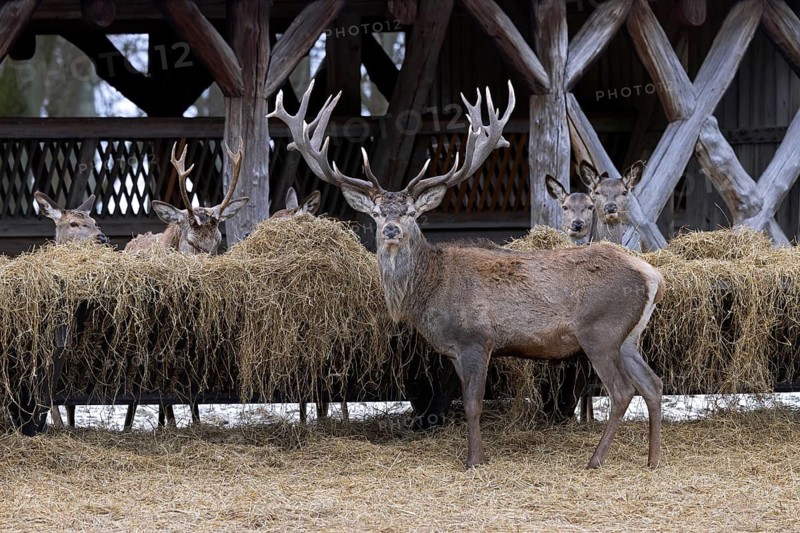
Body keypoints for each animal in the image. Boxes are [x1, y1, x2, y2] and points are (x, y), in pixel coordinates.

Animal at [32, 191, 109, 430]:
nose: (101, 238)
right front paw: (57, 425)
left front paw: (70, 425)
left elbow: (70, 400)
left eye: (95, 222)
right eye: (73, 223)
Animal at [270, 79, 665, 469]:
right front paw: (477, 455)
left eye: (411, 212)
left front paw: (474, 460)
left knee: (622, 390)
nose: (391, 229)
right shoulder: (455, 350)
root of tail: (651, 275)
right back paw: (652, 460)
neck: (429, 289)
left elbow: (473, 405)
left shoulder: (477, 338)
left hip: (601, 330)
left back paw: (596, 460)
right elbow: (463, 401)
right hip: (628, 337)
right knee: (653, 384)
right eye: (378, 213)